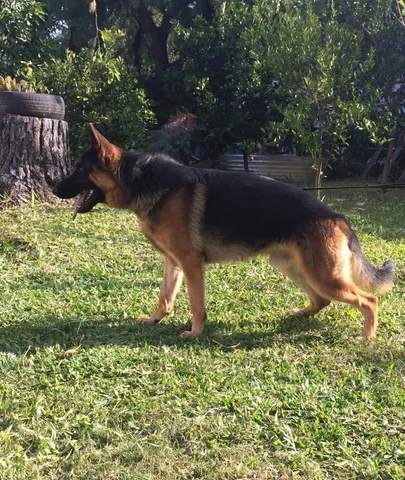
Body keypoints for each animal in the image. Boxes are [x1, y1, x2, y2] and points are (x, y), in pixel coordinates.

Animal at [52, 125, 392, 340]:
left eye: (79, 170)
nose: (54, 188)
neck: (140, 180)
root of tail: (338, 217)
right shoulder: (173, 263)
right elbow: (164, 297)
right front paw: (154, 320)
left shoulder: (192, 265)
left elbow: (196, 304)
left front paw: (195, 333)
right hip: (293, 267)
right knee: (322, 300)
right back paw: (297, 316)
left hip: (323, 276)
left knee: (369, 301)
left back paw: (366, 337)